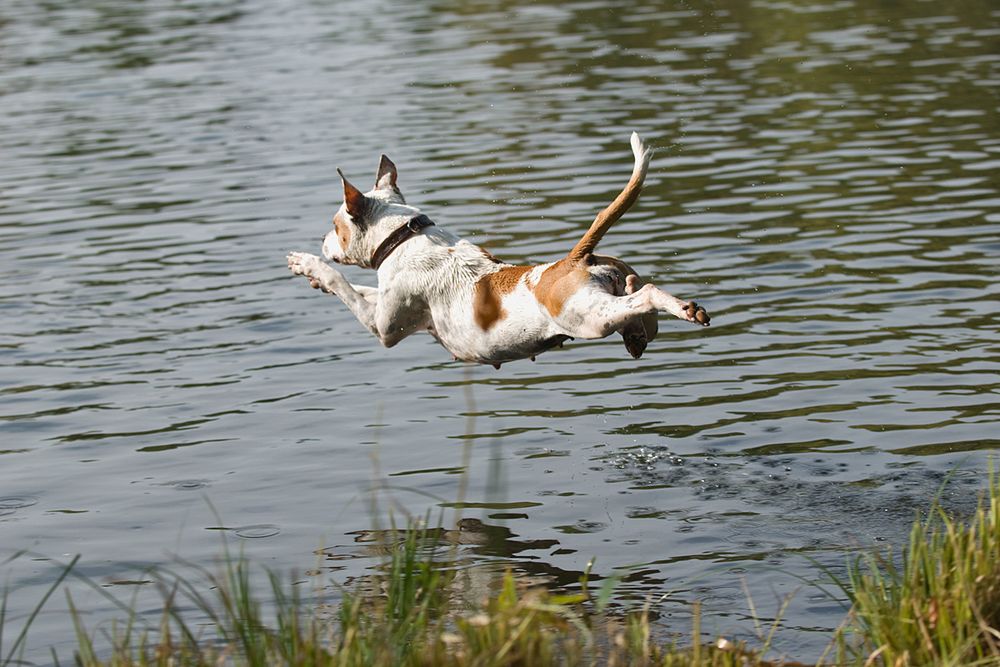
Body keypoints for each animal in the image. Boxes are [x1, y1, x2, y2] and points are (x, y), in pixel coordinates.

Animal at [288, 132, 712, 368]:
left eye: (335, 225)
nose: (323, 240)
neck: (404, 235)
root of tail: (574, 259)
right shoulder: (385, 301)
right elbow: (363, 289)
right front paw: (312, 277)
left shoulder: (382, 328)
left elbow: (344, 284)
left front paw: (309, 265)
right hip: (617, 300)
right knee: (639, 300)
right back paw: (641, 324)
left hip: (590, 318)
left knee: (648, 295)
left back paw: (683, 308)